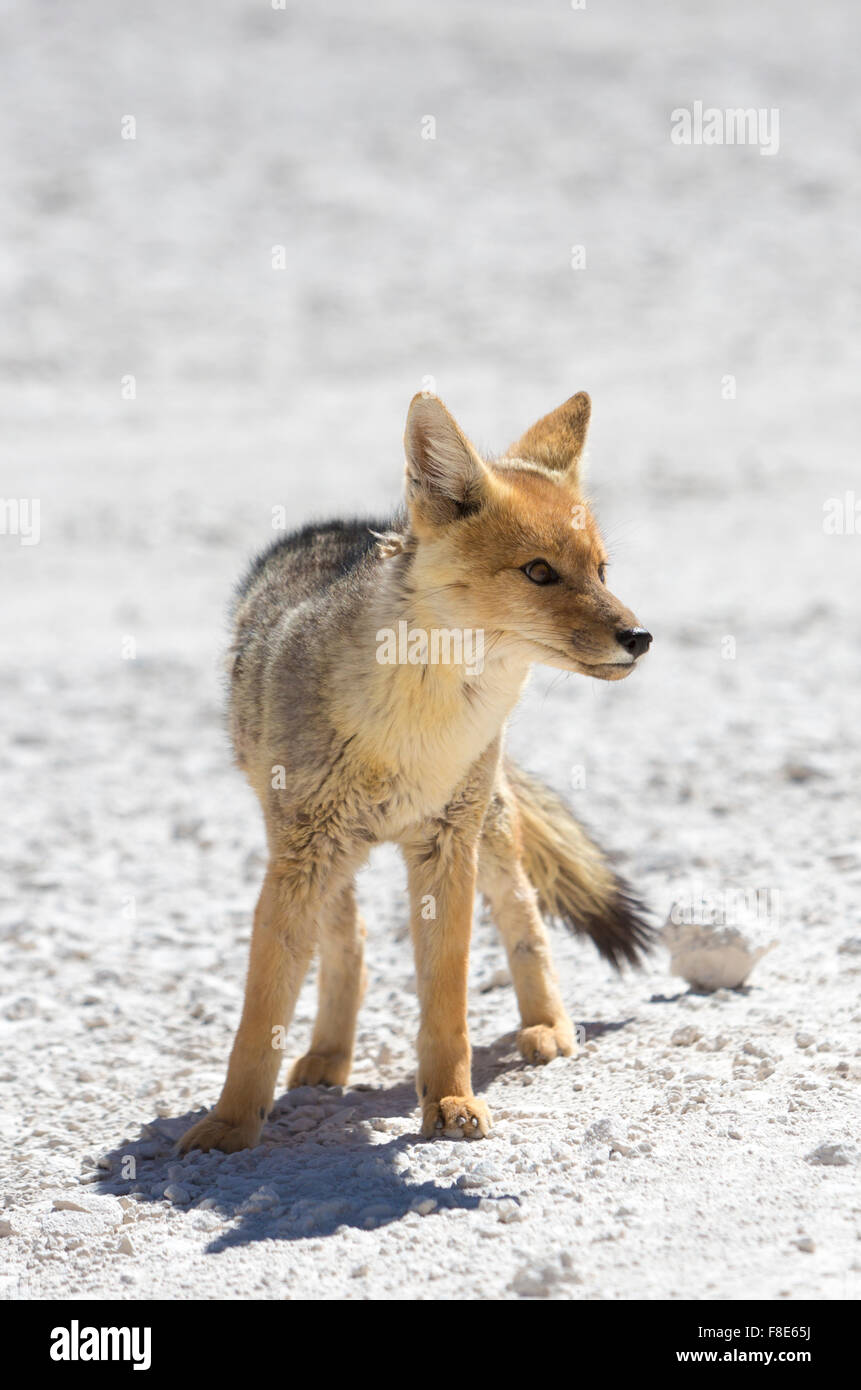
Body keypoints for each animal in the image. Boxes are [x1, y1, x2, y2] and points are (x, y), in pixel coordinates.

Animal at [178, 390, 653, 1154]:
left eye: (602, 571)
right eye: (539, 572)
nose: (639, 637)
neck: (414, 732)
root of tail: (342, 524)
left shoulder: (444, 848)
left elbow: (446, 1001)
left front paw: (451, 1102)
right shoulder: (303, 857)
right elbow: (260, 1014)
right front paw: (227, 1128)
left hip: (485, 829)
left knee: (524, 914)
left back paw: (546, 1024)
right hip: (317, 853)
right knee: (349, 941)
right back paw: (328, 1056)